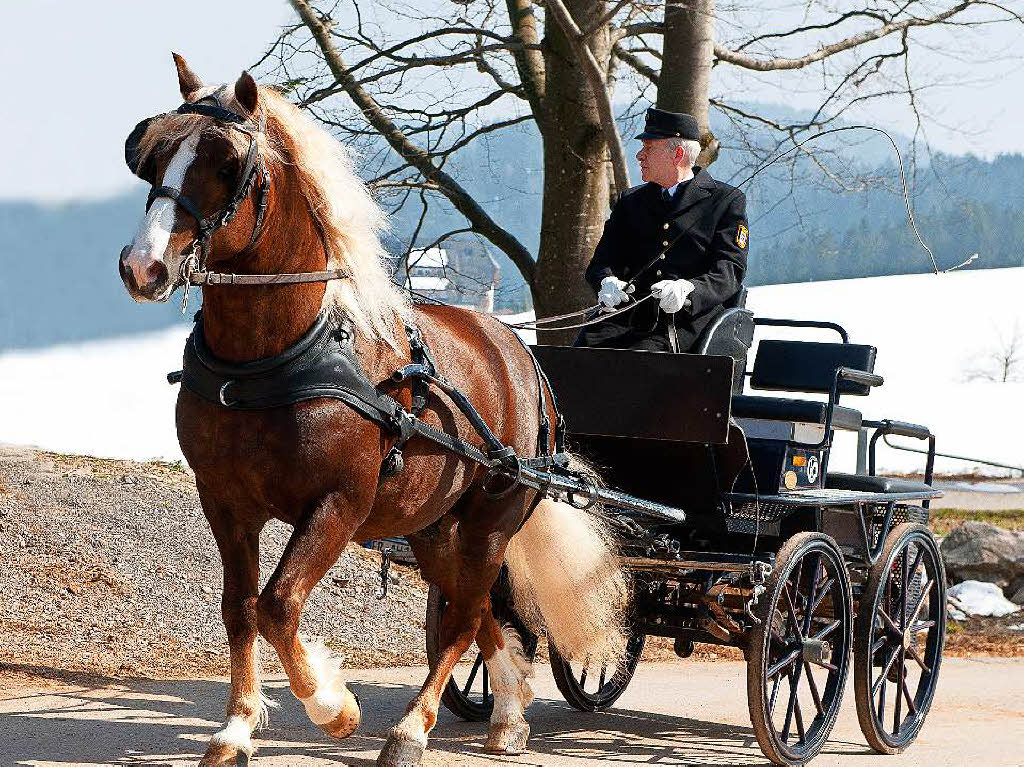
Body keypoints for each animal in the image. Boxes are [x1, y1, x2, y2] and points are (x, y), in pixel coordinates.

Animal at [120, 50, 630, 761]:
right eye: (151, 152)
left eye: (227, 163)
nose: (143, 267)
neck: (278, 354)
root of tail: (518, 353)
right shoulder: (224, 498)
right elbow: (240, 606)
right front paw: (237, 727)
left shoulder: (340, 502)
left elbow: (278, 604)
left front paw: (334, 707)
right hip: (431, 525)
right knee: (475, 608)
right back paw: (507, 715)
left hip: (488, 520)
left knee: (464, 615)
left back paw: (412, 730)